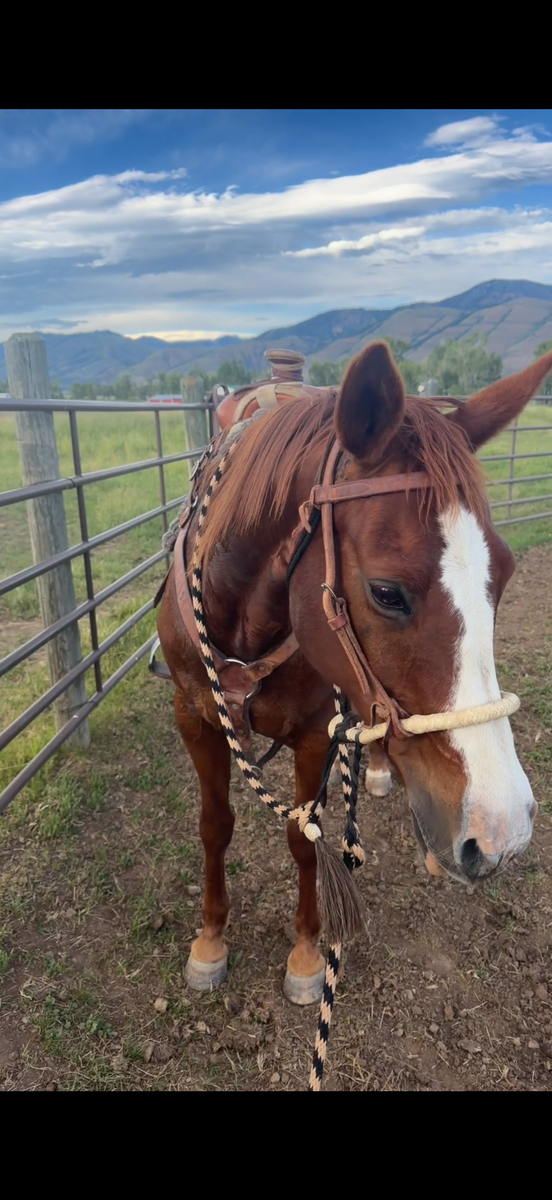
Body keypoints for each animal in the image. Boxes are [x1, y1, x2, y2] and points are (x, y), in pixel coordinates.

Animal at [156, 340, 552, 1013]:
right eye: (387, 592)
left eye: (503, 574)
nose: (502, 831)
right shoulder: (195, 718)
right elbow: (215, 826)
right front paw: (210, 942)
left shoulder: (316, 733)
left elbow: (305, 840)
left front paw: (307, 955)